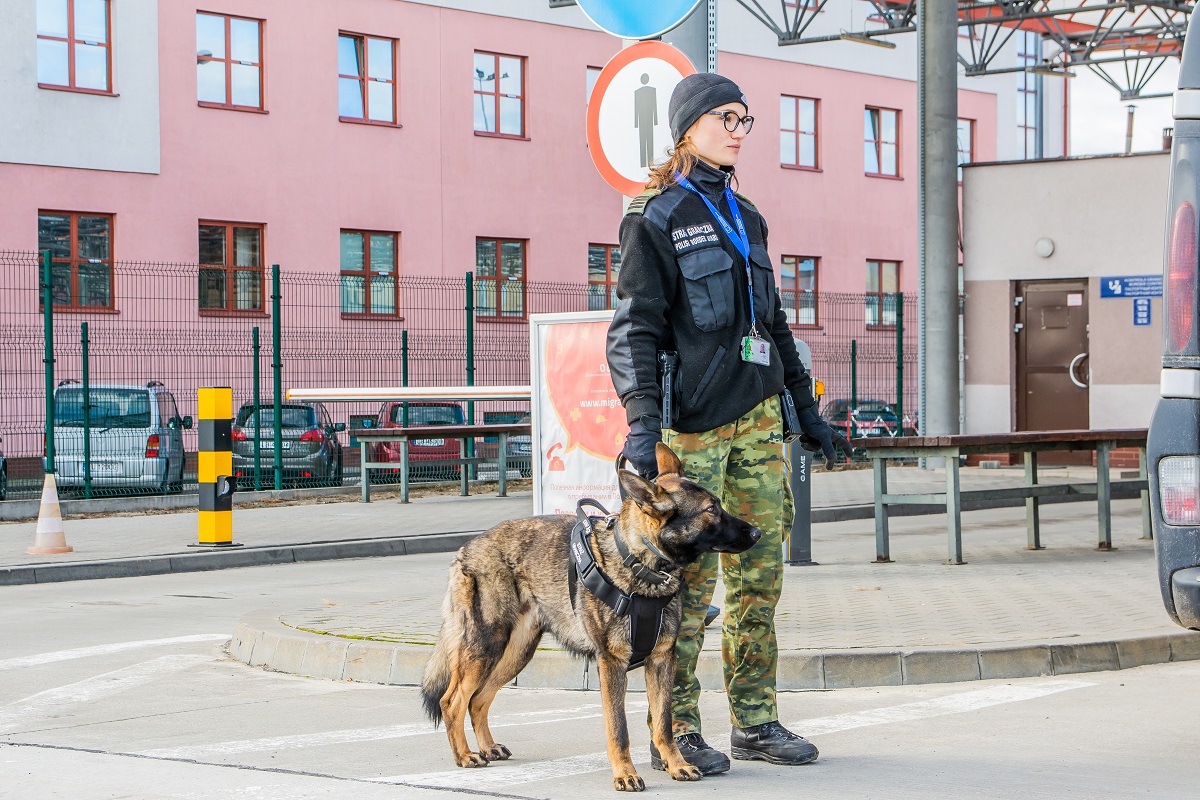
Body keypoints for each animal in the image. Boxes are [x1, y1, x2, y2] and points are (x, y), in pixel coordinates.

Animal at [422, 443, 758, 796]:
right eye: (711, 510)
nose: (758, 531)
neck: (639, 563)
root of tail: (468, 547)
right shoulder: (611, 663)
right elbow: (619, 728)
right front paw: (625, 774)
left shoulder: (662, 661)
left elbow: (664, 724)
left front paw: (676, 764)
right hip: (485, 646)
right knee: (452, 700)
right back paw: (465, 755)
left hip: (514, 654)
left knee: (478, 699)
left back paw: (487, 747)